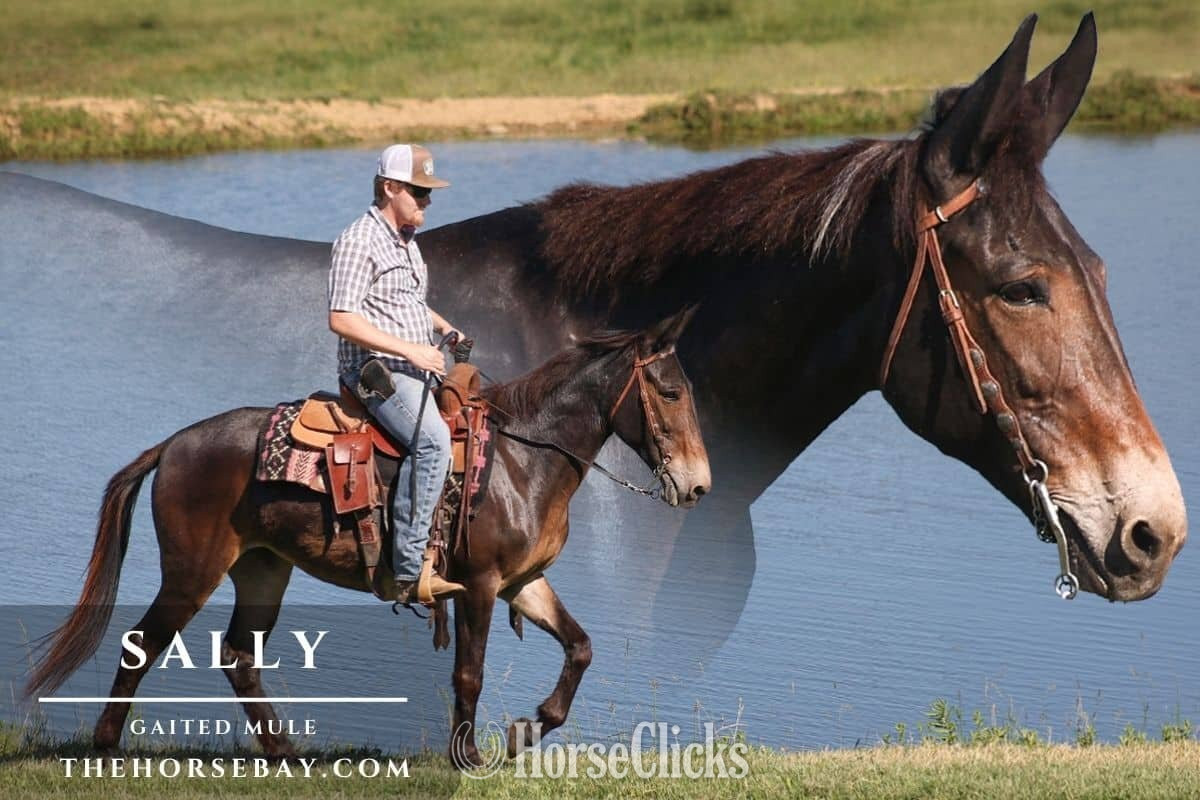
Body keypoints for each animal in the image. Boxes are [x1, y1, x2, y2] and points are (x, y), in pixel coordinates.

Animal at [25, 307, 711, 768]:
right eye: (671, 391)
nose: (700, 485)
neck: (524, 460)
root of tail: (172, 445)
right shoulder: (480, 583)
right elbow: (469, 673)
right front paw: (468, 758)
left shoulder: (524, 581)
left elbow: (580, 648)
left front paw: (526, 730)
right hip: (192, 572)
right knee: (143, 644)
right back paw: (106, 748)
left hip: (262, 569)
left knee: (240, 657)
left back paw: (285, 753)